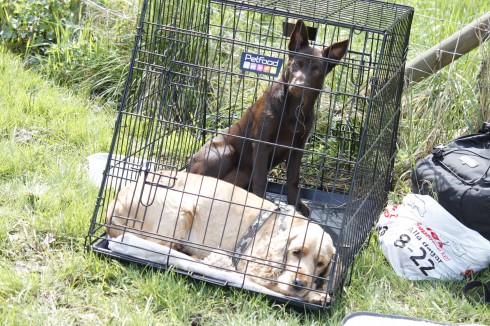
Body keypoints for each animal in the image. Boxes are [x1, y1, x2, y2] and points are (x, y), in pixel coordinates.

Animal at [106, 171, 336, 304]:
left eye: (321, 263)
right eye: (296, 252)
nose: (299, 282)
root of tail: (114, 204)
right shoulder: (250, 267)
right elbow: (276, 286)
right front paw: (315, 296)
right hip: (179, 212)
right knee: (161, 248)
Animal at [188, 19, 348, 215]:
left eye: (317, 70)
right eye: (296, 64)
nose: (298, 86)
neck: (294, 108)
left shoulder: (298, 148)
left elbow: (293, 180)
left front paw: (296, 205)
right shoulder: (262, 144)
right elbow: (261, 179)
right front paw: (261, 204)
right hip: (225, 151)